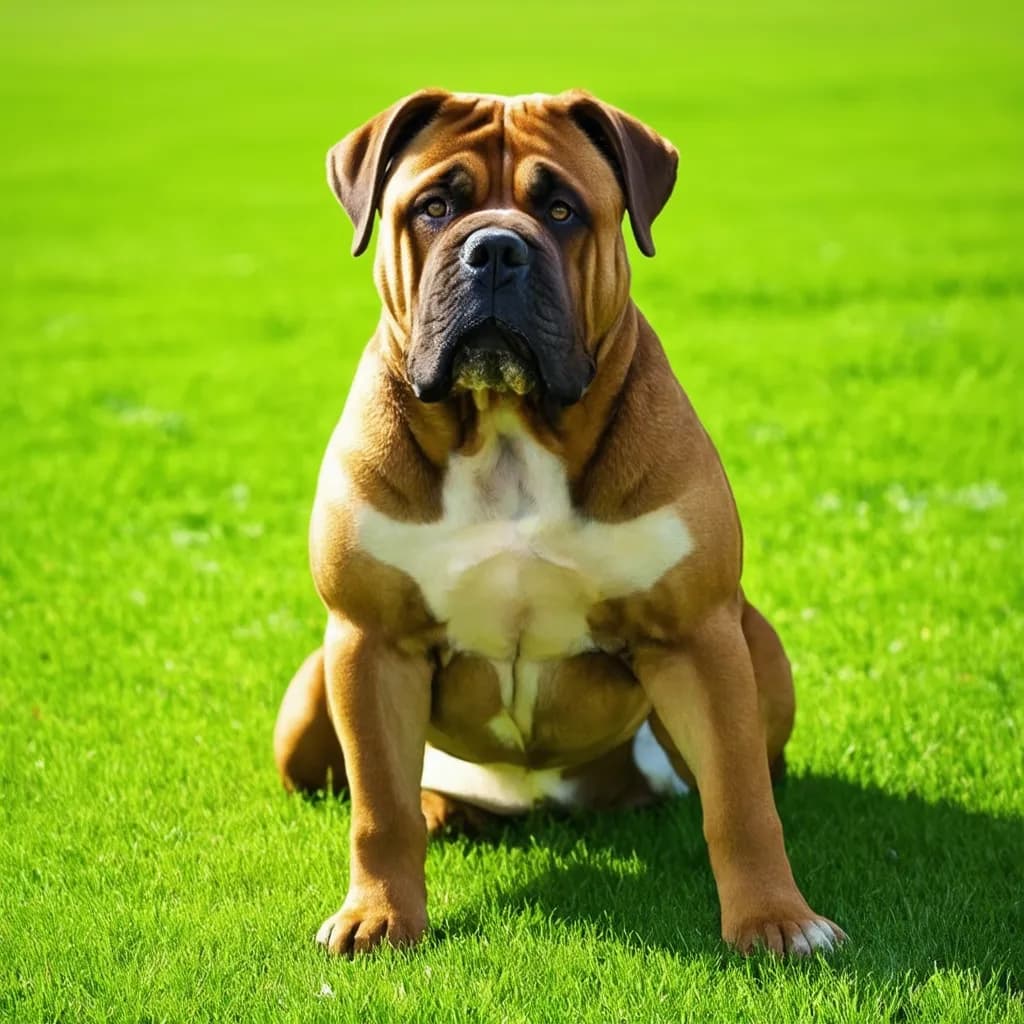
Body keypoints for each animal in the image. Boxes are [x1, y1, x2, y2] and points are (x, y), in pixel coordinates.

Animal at [268, 90, 843, 958]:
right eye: (434, 207)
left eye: (563, 210)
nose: (496, 249)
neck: (506, 428)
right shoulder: (370, 642)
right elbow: (379, 809)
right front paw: (378, 916)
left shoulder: (699, 636)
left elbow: (740, 804)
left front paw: (776, 920)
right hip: (309, 699)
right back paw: (445, 809)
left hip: (756, 645)